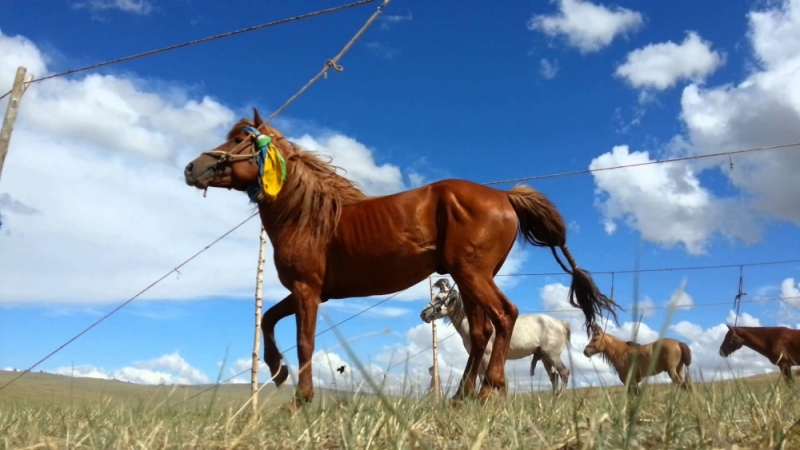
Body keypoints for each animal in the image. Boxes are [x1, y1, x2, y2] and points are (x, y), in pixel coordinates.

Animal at [422, 278, 572, 394]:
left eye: (438, 298)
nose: (423, 314)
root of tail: (560, 323)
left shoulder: (487, 355)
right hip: (545, 357)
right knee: (554, 377)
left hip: (552, 355)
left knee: (564, 373)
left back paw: (560, 397)